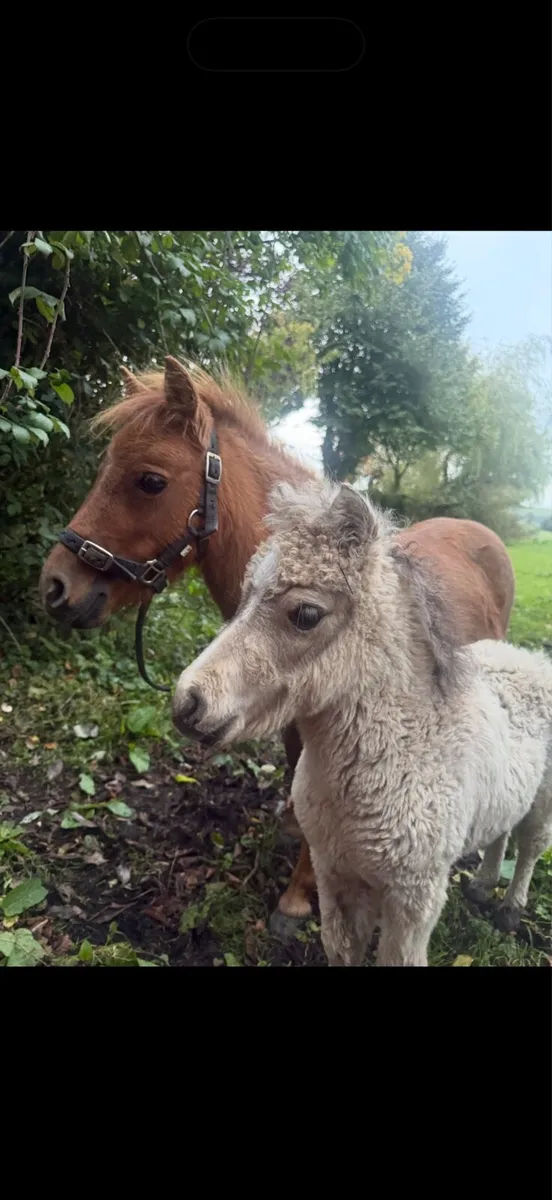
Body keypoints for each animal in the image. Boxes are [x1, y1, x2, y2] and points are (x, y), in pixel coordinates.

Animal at [172, 481, 552, 967]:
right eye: (244, 597)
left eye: (306, 614)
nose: (187, 702)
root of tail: (528, 657)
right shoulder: (335, 874)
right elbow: (342, 949)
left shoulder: (414, 898)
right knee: (501, 831)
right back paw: (483, 887)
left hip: (544, 800)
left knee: (530, 845)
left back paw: (509, 910)